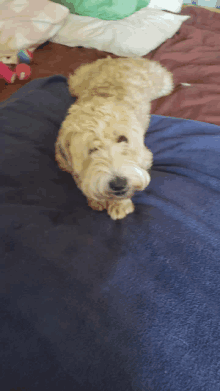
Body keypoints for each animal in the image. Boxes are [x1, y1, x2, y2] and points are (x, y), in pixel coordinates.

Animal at [55, 56, 174, 220]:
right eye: (92, 149)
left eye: (123, 139)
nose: (119, 183)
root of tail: (117, 59)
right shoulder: (67, 163)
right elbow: (81, 180)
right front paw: (96, 199)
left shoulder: (145, 157)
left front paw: (120, 205)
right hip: (76, 83)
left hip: (162, 81)